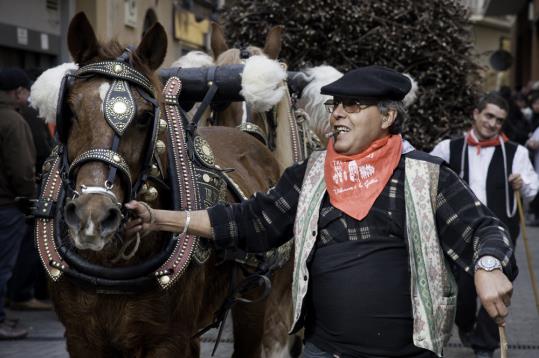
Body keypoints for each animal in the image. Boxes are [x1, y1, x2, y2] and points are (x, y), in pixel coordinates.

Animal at [43, 12, 294, 356]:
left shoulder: (168, 339)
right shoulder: (81, 338)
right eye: (69, 110)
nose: (91, 216)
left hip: (259, 301)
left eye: (145, 117)